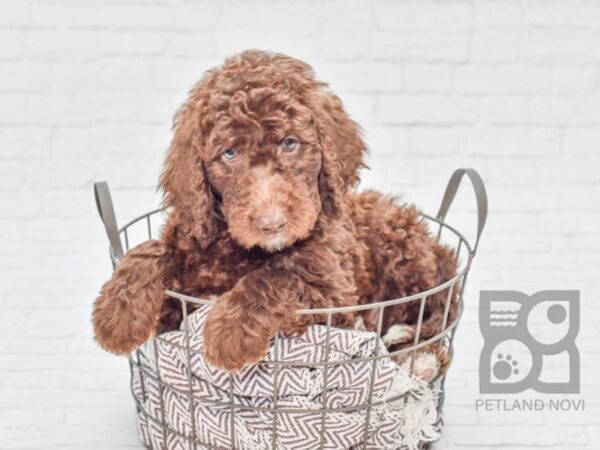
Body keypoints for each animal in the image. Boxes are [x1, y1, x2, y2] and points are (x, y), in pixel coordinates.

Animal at [92, 50, 454, 372]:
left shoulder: (336, 299)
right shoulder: (187, 262)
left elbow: (278, 276)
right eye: (229, 153)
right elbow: (152, 249)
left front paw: (230, 331)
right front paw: (117, 314)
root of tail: (439, 249)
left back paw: (421, 359)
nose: (272, 223)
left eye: (290, 143)